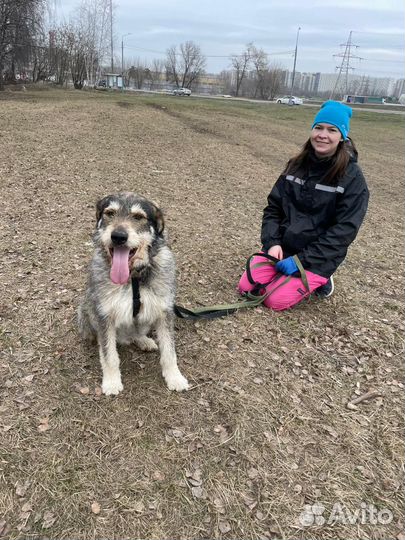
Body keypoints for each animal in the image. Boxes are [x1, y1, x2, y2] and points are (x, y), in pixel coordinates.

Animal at [77, 192, 189, 394]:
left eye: (138, 217)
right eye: (109, 213)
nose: (118, 236)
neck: (134, 277)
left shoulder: (164, 311)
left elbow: (169, 351)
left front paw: (175, 378)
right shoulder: (104, 315)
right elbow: (109, 354)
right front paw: (112, 382)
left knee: (137, 334)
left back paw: (145, 341)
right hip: (86, 309)